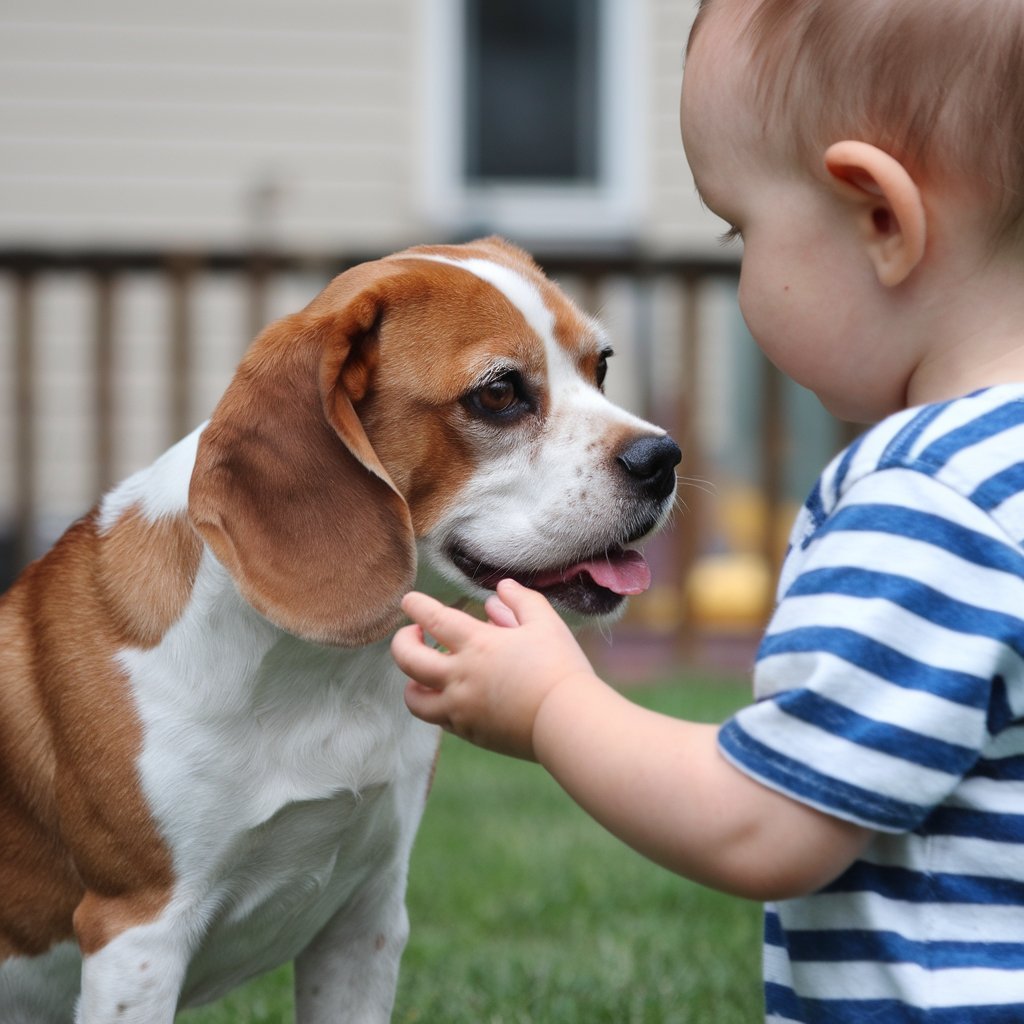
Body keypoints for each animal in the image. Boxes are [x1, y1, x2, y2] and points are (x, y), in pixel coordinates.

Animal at [0, 235, 679, 1019]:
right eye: (499, 393)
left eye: (601, 367)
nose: (663, 458)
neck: (323, 674)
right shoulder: (137, 934)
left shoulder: (367, 918)